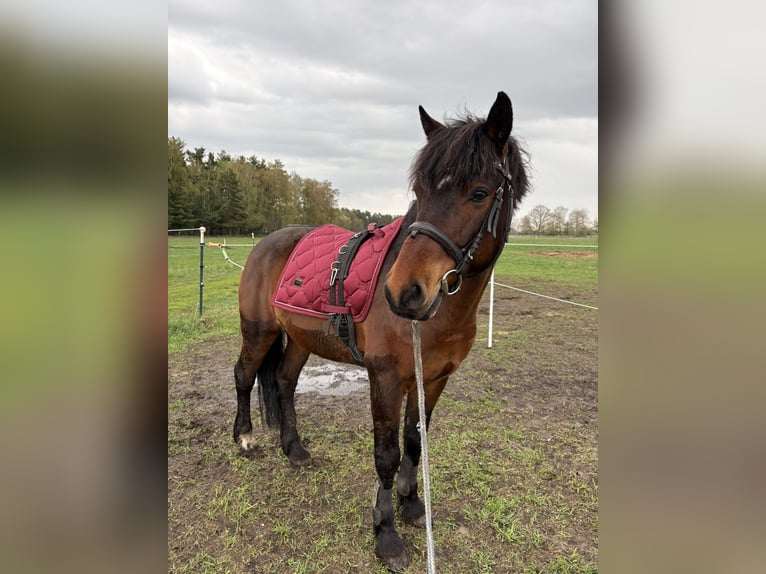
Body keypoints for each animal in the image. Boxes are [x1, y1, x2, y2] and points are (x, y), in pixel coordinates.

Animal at [233, 91, 529, 570]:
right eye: (420, 191)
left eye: (479, 193)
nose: (403, 291)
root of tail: (267, 242)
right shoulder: (385, 377)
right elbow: (387, 454)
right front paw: (386, 533)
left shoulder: (433, 379)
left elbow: (414, 442)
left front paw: (412, 506)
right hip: (258, 331)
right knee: (244, 376)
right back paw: (243, 438)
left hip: (301, 341)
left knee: (283, 383)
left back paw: (294, 449)